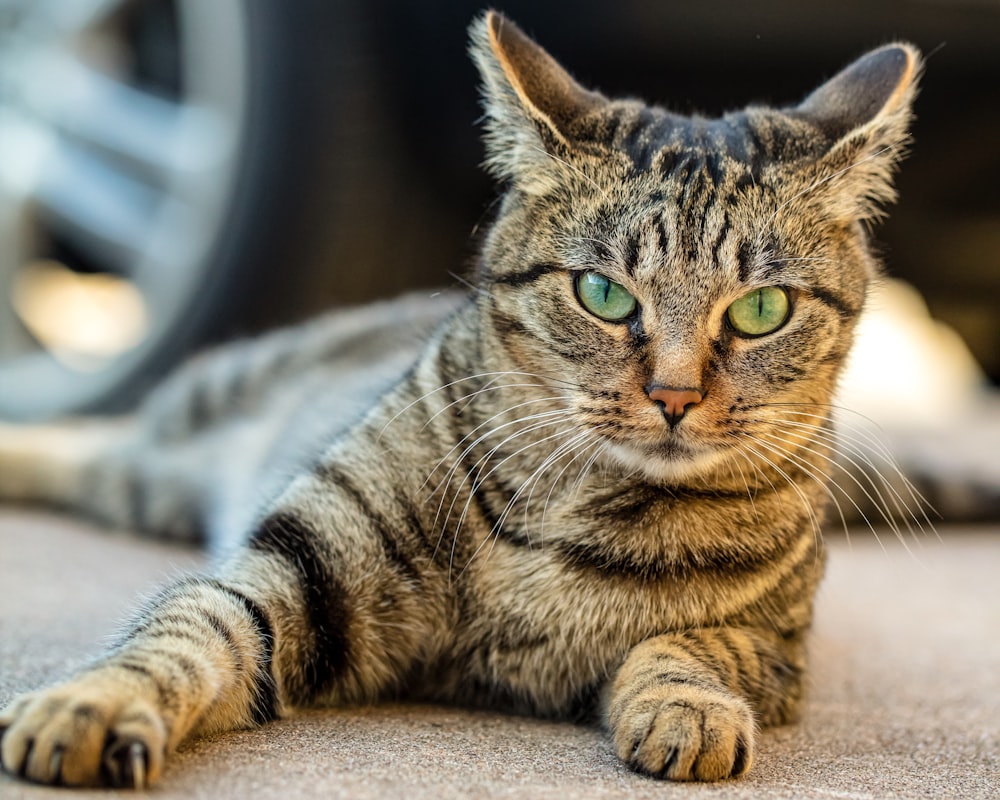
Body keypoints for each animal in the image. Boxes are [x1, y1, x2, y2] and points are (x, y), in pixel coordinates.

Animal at [0, 10, 920, 788]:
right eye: (603, 293)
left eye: (761, 310)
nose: (674, 395)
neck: (578, 510)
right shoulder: (299, 567)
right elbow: (191, 628)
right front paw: (93, 704)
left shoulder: (780, 646)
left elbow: (693, 645)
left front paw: (687, 707)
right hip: (183, 435)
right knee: (94, 438)